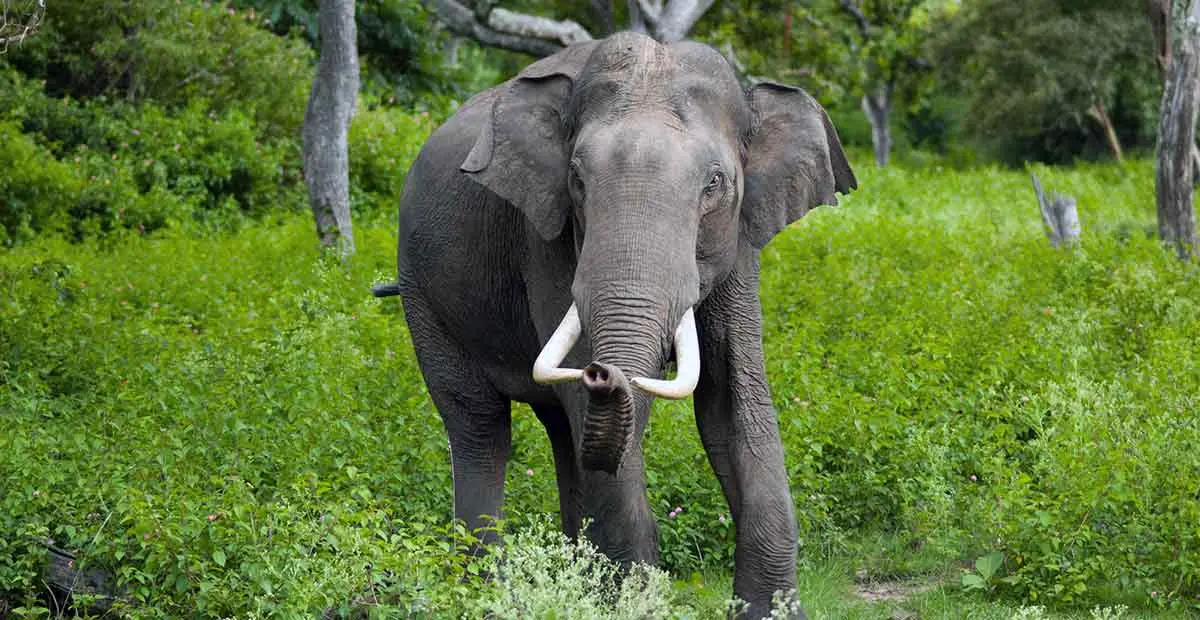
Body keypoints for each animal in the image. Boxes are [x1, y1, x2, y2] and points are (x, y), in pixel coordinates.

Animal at [374, 30, 854, 618]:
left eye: (714, 183)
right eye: (577, 179)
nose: (604, 373)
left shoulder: (741, 241)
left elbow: (734, 402)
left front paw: (771, 612)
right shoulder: (547, 237)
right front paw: (629, 602)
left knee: (562, 431)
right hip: (421, 291)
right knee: (480, 424)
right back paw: (486, 592)